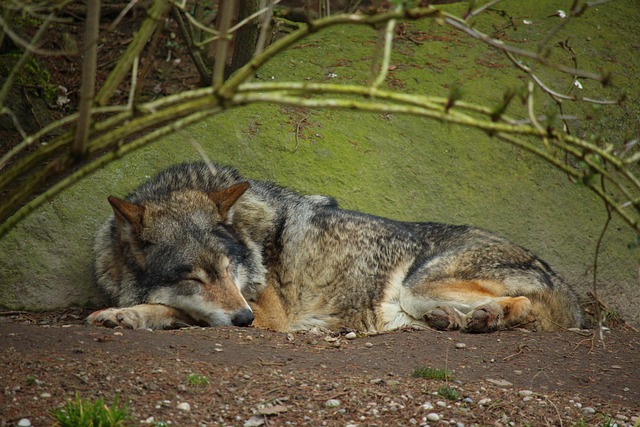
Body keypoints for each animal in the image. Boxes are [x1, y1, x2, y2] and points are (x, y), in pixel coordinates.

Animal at [89, 162, 584, 332]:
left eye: (230, 270)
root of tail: (563, 280)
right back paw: (461, 320)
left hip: (418, 287)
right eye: (194, 276)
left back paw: (486, 318)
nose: (244, 319)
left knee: (525, 306)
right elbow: (174, 307)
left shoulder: (268, 316)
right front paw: (122, 314)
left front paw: (130, 314)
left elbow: (177, 309)